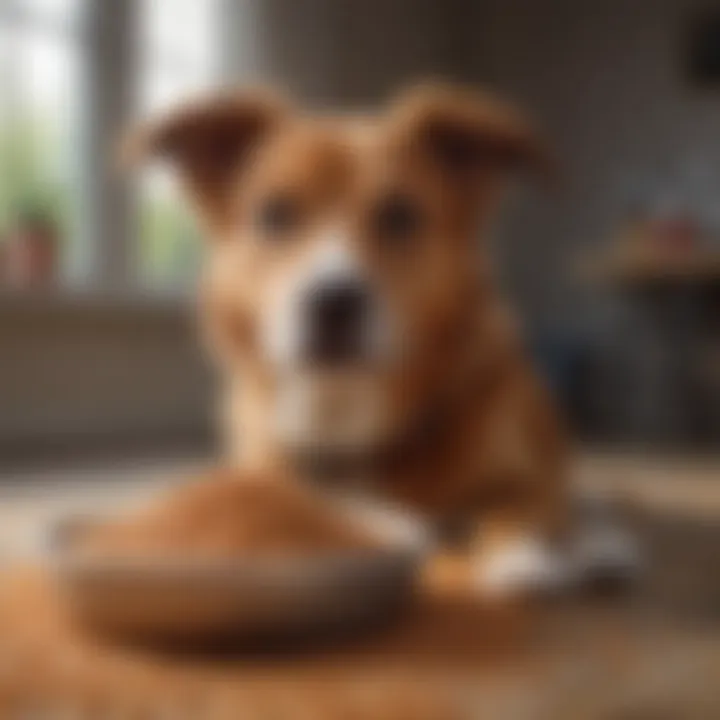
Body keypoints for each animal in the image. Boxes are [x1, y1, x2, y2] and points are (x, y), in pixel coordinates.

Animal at [125, 84, 636, 600]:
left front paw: (525, 560)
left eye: (399, 215)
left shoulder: (529, 483)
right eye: (275, 214)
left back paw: (602, 544)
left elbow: (516, 516)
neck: (346, 412)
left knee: (586, 497)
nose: (334, 302)